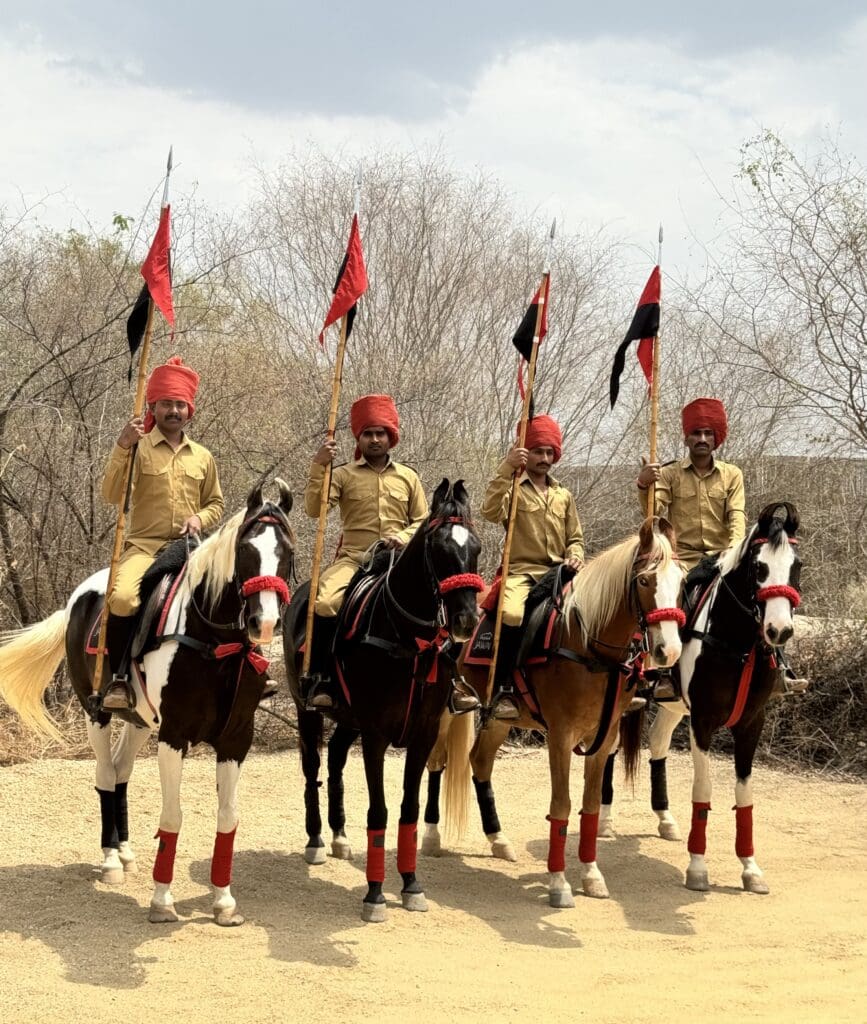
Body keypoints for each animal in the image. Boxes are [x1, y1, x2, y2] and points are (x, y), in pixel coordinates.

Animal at [0, 483, 294, 925]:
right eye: (245, 550)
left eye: (287, 551)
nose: (266, 623)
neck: (212, 642)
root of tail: (77, 599)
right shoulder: (173, 735)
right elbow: (172, 816)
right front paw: (162, 899)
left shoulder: (236, 739)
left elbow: (228, 818)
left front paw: (224, 901)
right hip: (97, 712)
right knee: (106, 775)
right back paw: (110, 860)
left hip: (138, 720)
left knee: (121, 772)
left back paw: (124, 852)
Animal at [286, 483, 485, 925]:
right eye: (440, 549)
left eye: (476, 547)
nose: (466, 620)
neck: (407, 638)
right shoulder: (376, 734)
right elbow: (378, 811)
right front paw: (375, 893)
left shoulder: (423, 734)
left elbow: (409, 808)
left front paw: (410, 884)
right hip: (308, 711)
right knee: (313, 769)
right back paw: (316, 840)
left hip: (348, 719)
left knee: (337, 758)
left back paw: (340, 835)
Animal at [425, 520, 683, 905]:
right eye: (644, 581)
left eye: (680, 580)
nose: (670, 650)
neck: (586, 645)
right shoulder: (560, 736)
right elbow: (561, 805)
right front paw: (559, 883)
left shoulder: (604, 737)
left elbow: (590, 806)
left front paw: (591, 875)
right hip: (446, 712)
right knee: (437, 760)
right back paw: (430, 837)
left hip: (499, 720)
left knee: (480, 762)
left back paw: (498, 839)